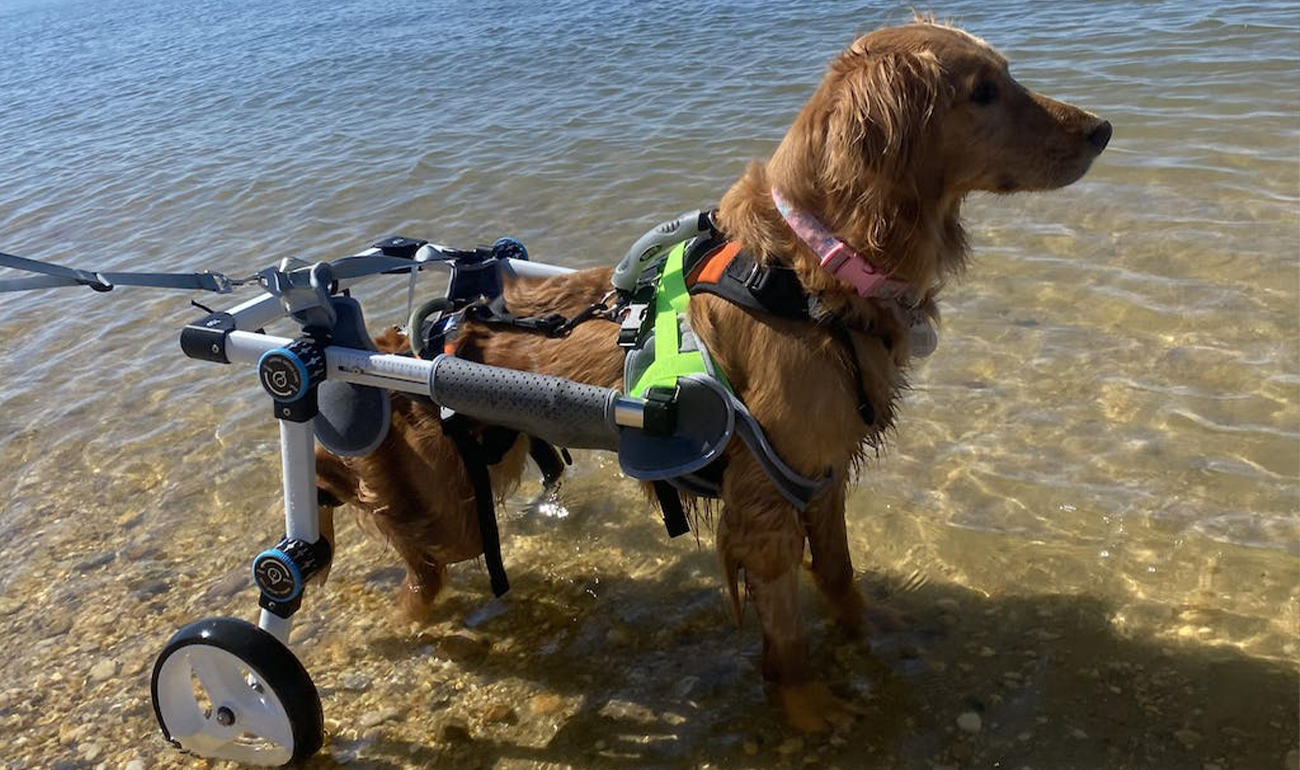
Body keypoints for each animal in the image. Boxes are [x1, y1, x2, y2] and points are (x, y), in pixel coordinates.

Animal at [312, 16, 1107, 728]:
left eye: (1004, 76)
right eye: (983, 91)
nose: (1102, 128)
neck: (808, 273)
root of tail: (417, 331)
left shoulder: (820, 473)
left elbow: (841, 577)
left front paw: (869, 635)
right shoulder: (765, 501)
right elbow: (787, 635)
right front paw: (810, 710)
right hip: (446, 504)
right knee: (374, 506)